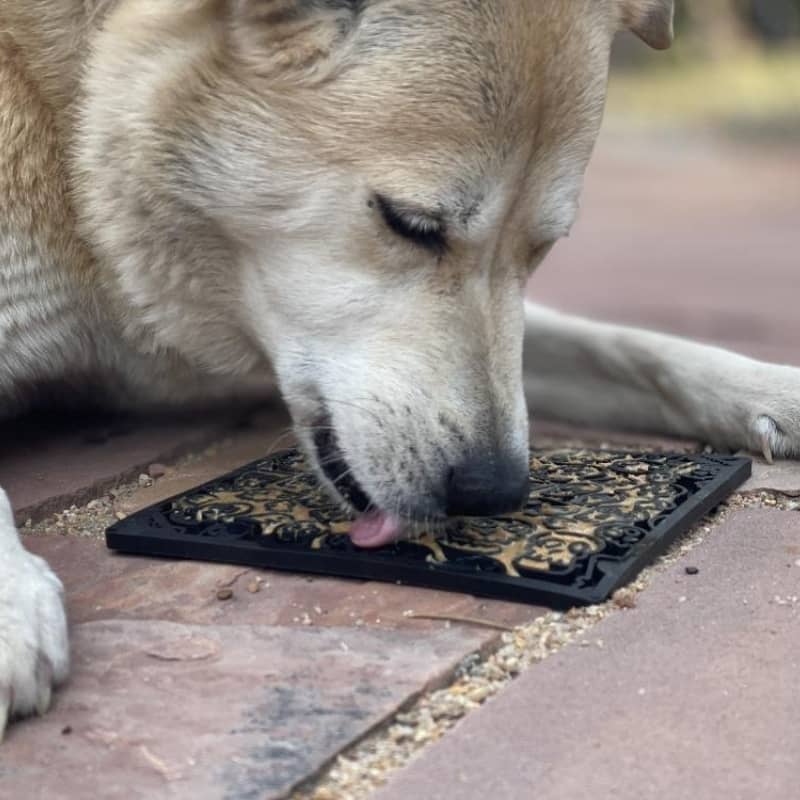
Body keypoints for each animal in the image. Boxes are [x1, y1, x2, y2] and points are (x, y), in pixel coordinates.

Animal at [1, 0, 800, 736]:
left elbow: (628, 346)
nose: (495, 491)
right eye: (408, 223)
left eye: (541, 249)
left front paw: (771, 388)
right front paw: (11, 605)